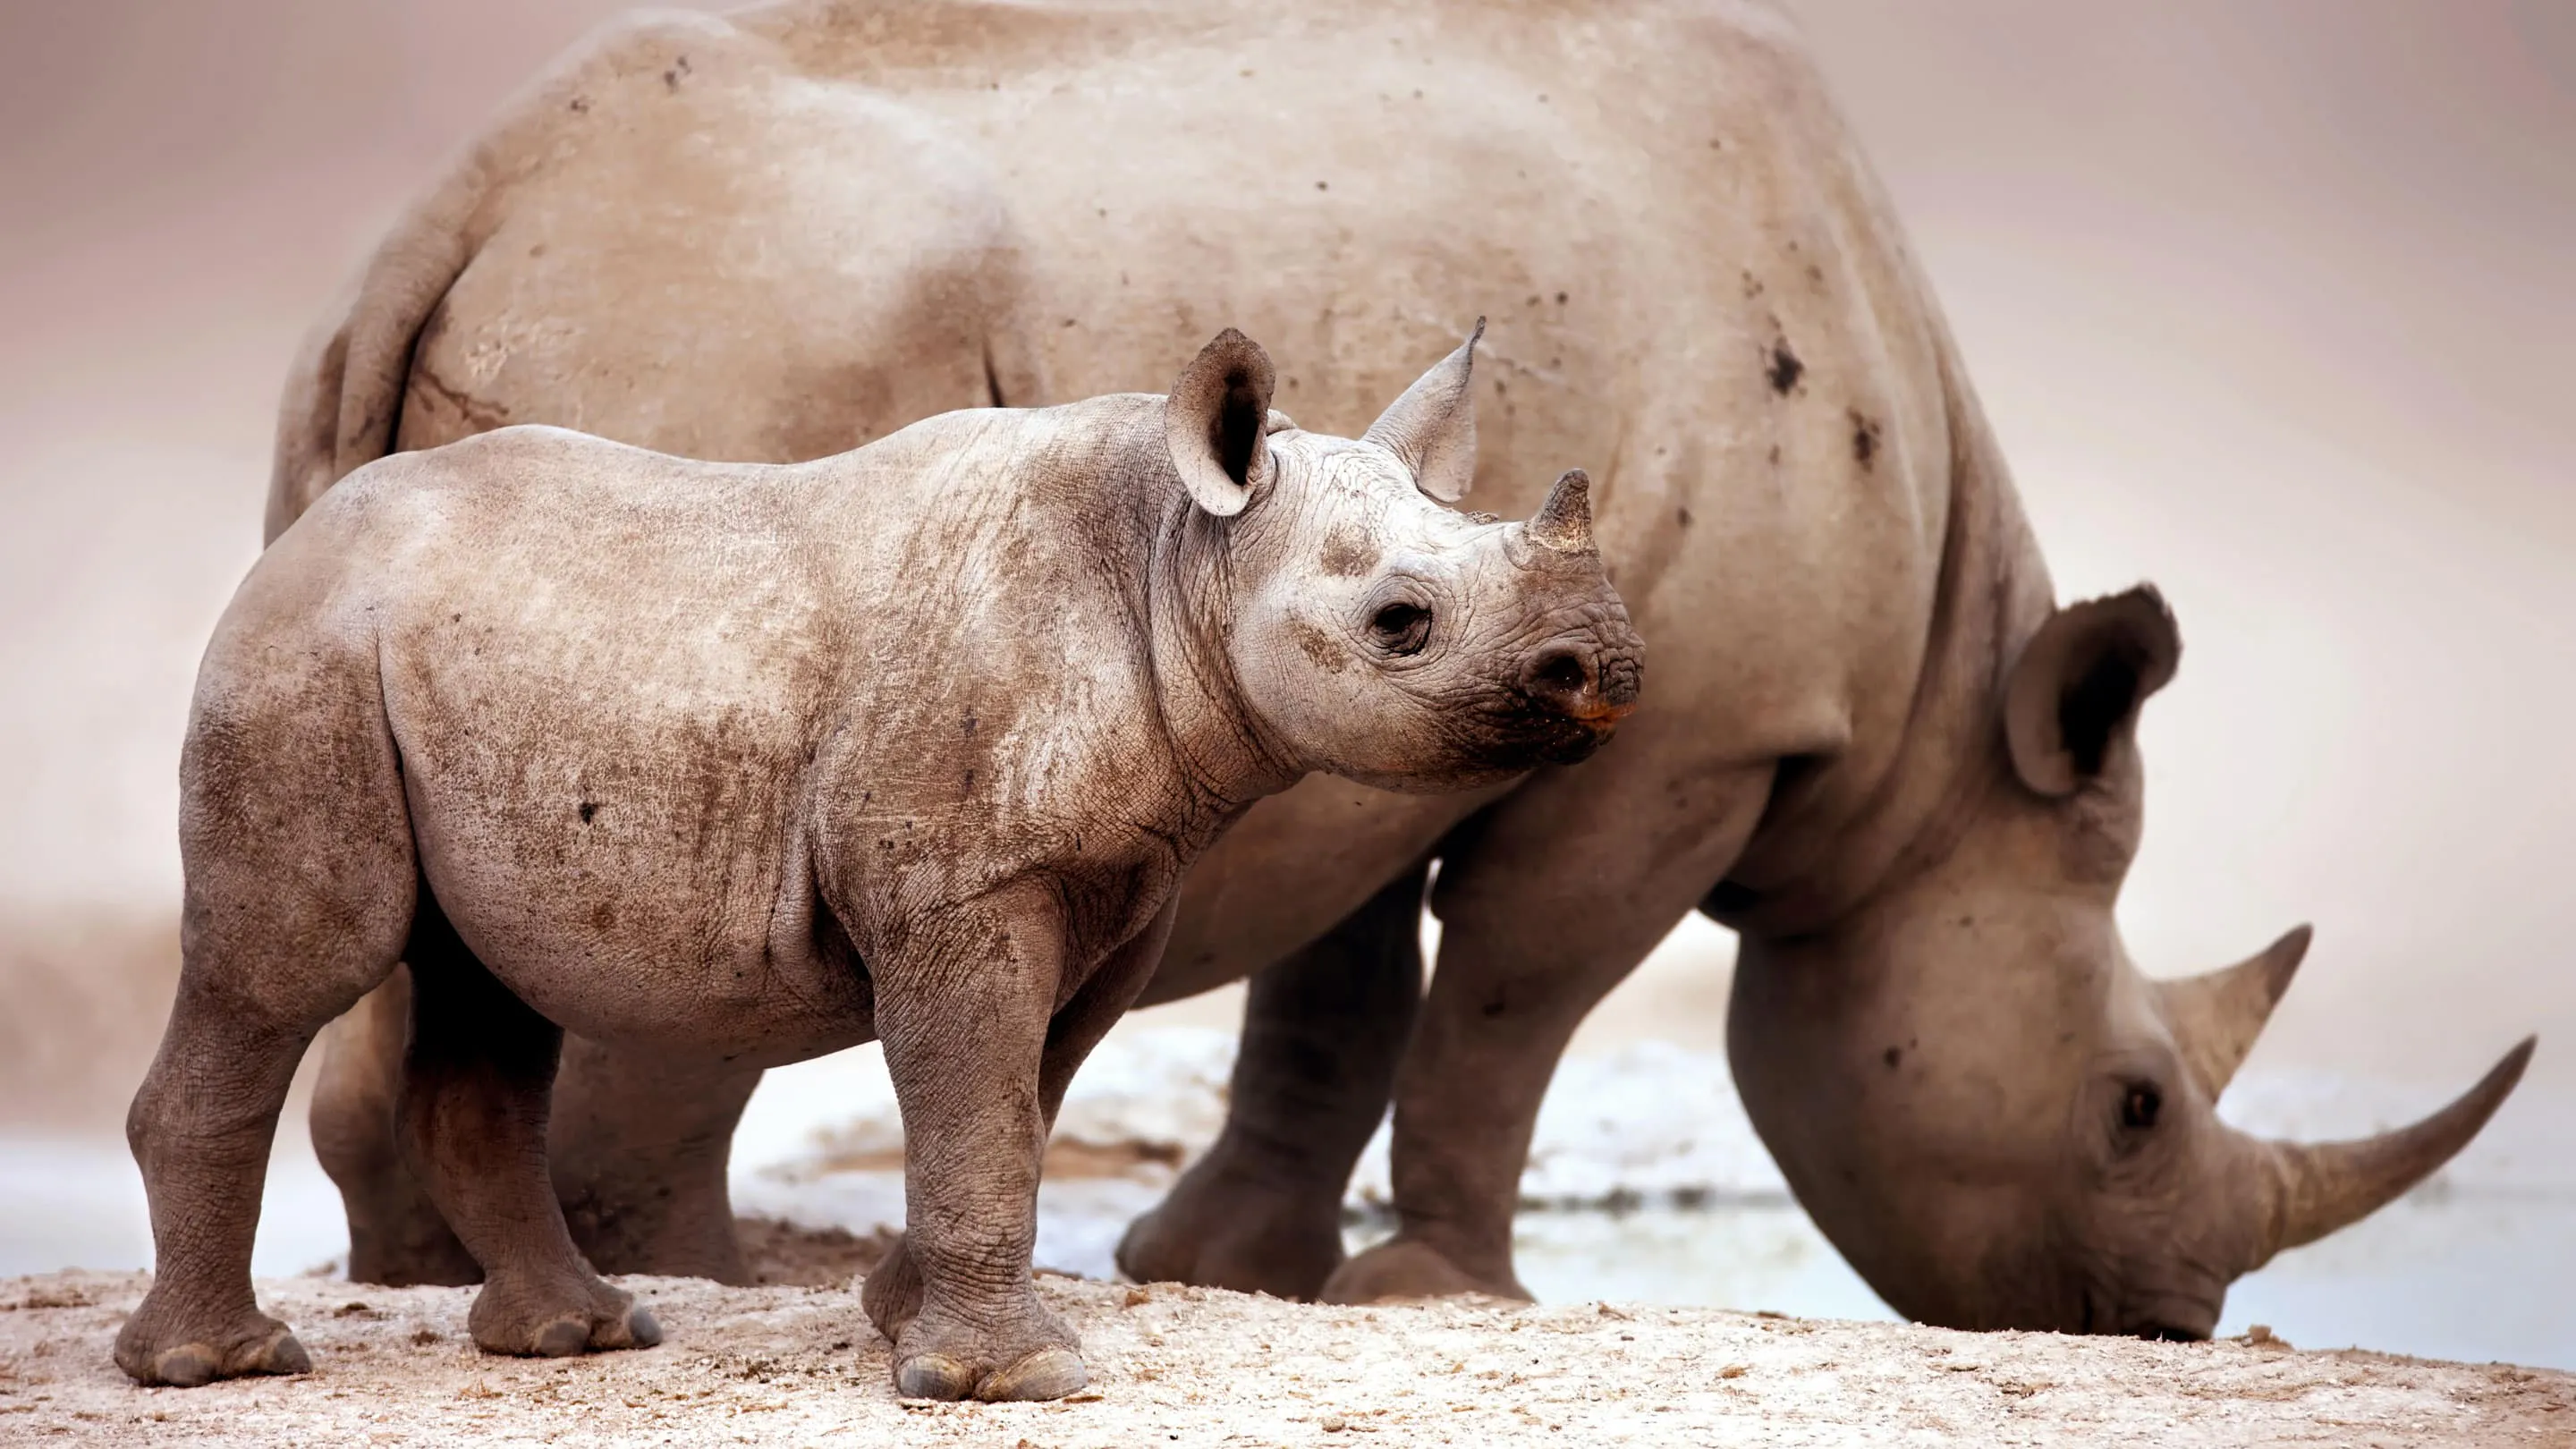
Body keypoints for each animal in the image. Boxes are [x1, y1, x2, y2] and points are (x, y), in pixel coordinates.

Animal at [117, 329, 1644, 1397]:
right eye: (1401, 622)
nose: (1610, 668)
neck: (1181, 557)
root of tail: (301, 535)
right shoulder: (967, 886)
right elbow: (978, 1101)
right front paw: (1011, 1382)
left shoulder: (1114, 883)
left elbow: (1021, 1099)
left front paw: (903, 1324)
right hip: (302, 658)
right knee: (295, 969)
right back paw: (221, 1367)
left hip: (434, 667)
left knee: (485, 987)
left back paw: (580, 1336)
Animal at [271, 0, 2531, 1342]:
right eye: (2133, 1109)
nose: (2176, 1327)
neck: (1925, 762)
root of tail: (468, 202)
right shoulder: (1697, 737)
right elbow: (1513, 998)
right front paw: (1434, 1296)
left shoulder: (1376, 693)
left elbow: (1334, 987)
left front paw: (1231, 1274)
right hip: (746, 330)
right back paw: (713, 1276)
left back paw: (444, 1273)